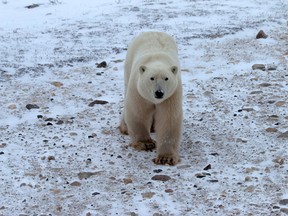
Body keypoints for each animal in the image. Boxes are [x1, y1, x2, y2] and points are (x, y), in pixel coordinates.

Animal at [118, 31, 182, 165]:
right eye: (151, 78)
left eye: (166, 78)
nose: (159, 93)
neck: (157, 60)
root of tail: (152, 31)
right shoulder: (138, 90)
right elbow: (138, 113)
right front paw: (146, 144)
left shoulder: (171, 95)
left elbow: (168, 119)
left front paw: (166, 158)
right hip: (128, 67)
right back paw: (125, 127)